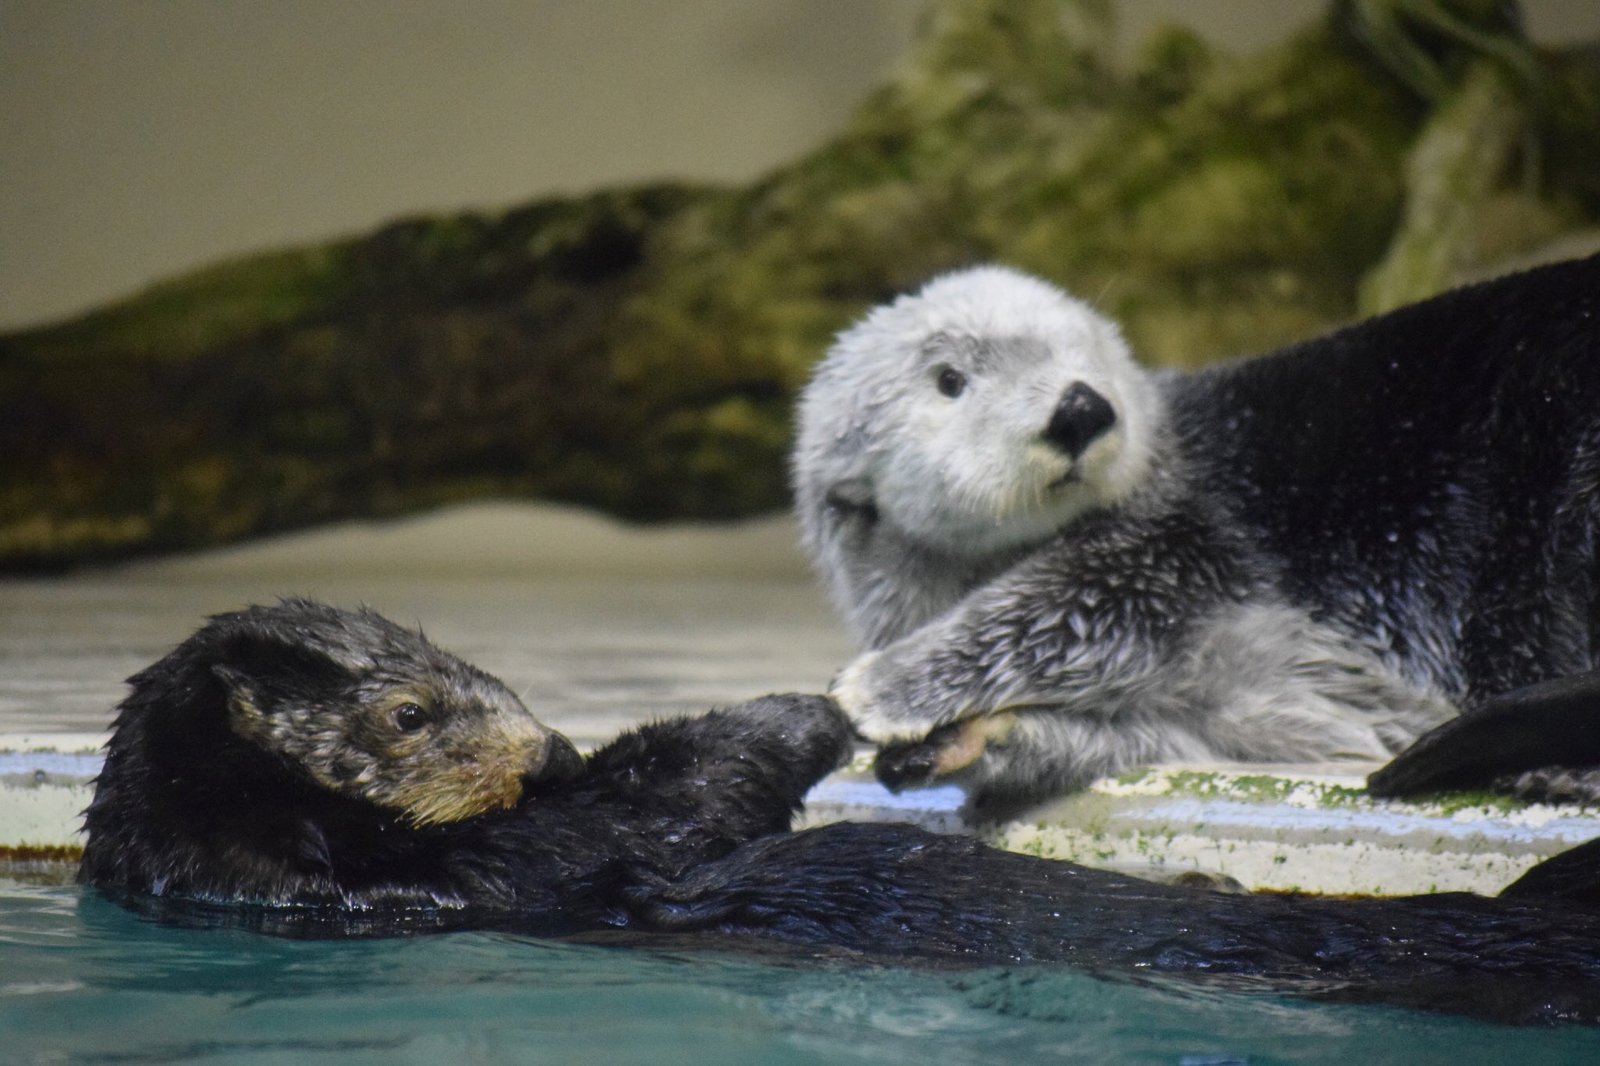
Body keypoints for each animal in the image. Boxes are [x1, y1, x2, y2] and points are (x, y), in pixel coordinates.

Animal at [72, 598, 1600, 1024]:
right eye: (406, 713)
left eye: (475, 666)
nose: (544, 740)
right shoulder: (487, 870)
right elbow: (671, 792)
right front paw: (837, 701)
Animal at [796, 252, 1600, 809]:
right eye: (950, 381)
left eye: (1085, 351)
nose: (1082, 407)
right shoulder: (1258, 701)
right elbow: (1192, 730)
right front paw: (963, 741)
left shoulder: (1185, 543)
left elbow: (1079, 597)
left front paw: (873, 687)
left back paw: (1555, 768)